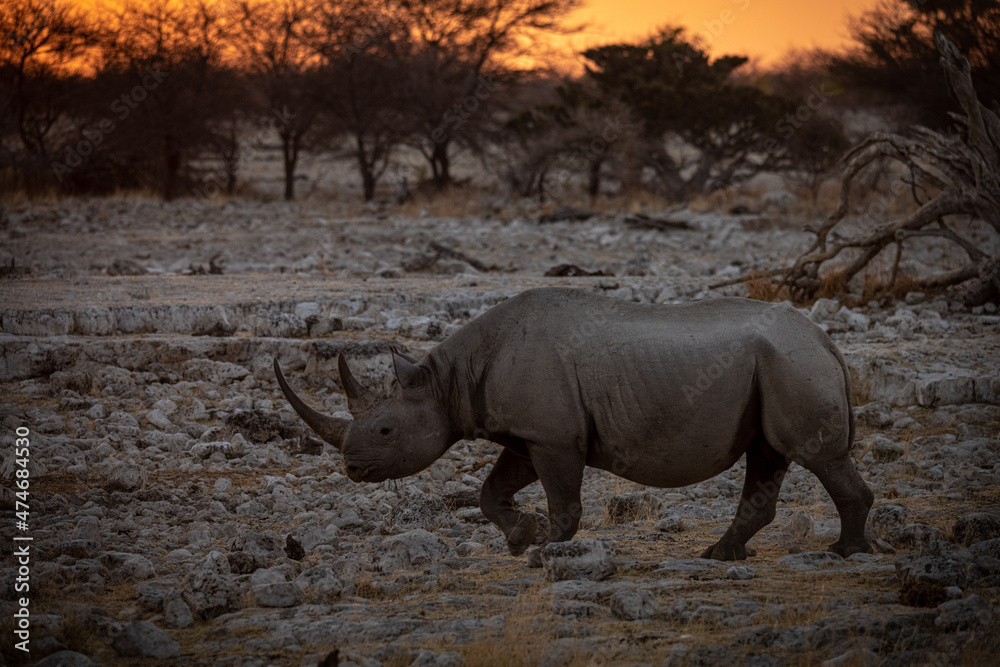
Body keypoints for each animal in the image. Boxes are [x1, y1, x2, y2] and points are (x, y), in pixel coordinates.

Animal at [274, 287, 873, 560]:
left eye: (385, 431)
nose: (352, 469)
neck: (447, 381)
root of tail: (828, 343)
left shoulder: (554, 436)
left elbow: (565, 501)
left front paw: (546, 548)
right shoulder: (525, 434)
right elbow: (491, 492)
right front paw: (521, 537)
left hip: (792, 364)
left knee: (816, 456)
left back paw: (846, 553)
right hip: (779, 365)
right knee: (767, 455)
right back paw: (720, 556)